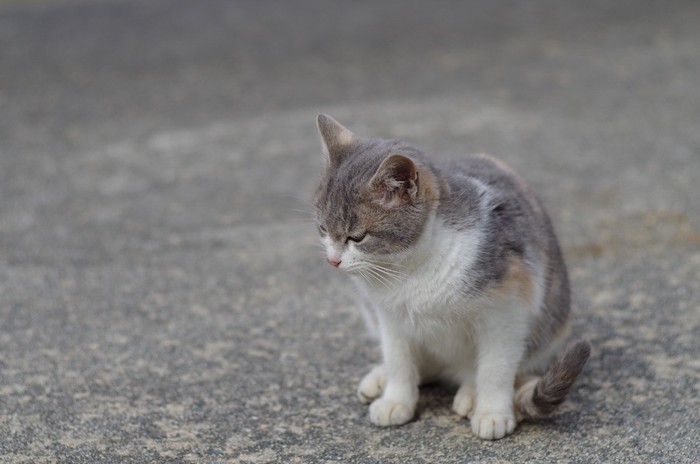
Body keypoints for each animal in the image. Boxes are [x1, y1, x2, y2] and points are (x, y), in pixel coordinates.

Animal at [314, 114, 592, 440]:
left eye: (357, 237)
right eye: (323, 229)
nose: (333, 260)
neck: (411, 269)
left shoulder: (506, 312)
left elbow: (495, 368)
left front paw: (492, 411)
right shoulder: (389, 317)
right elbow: (398, 360)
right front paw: (396, 400)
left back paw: (471, 393)